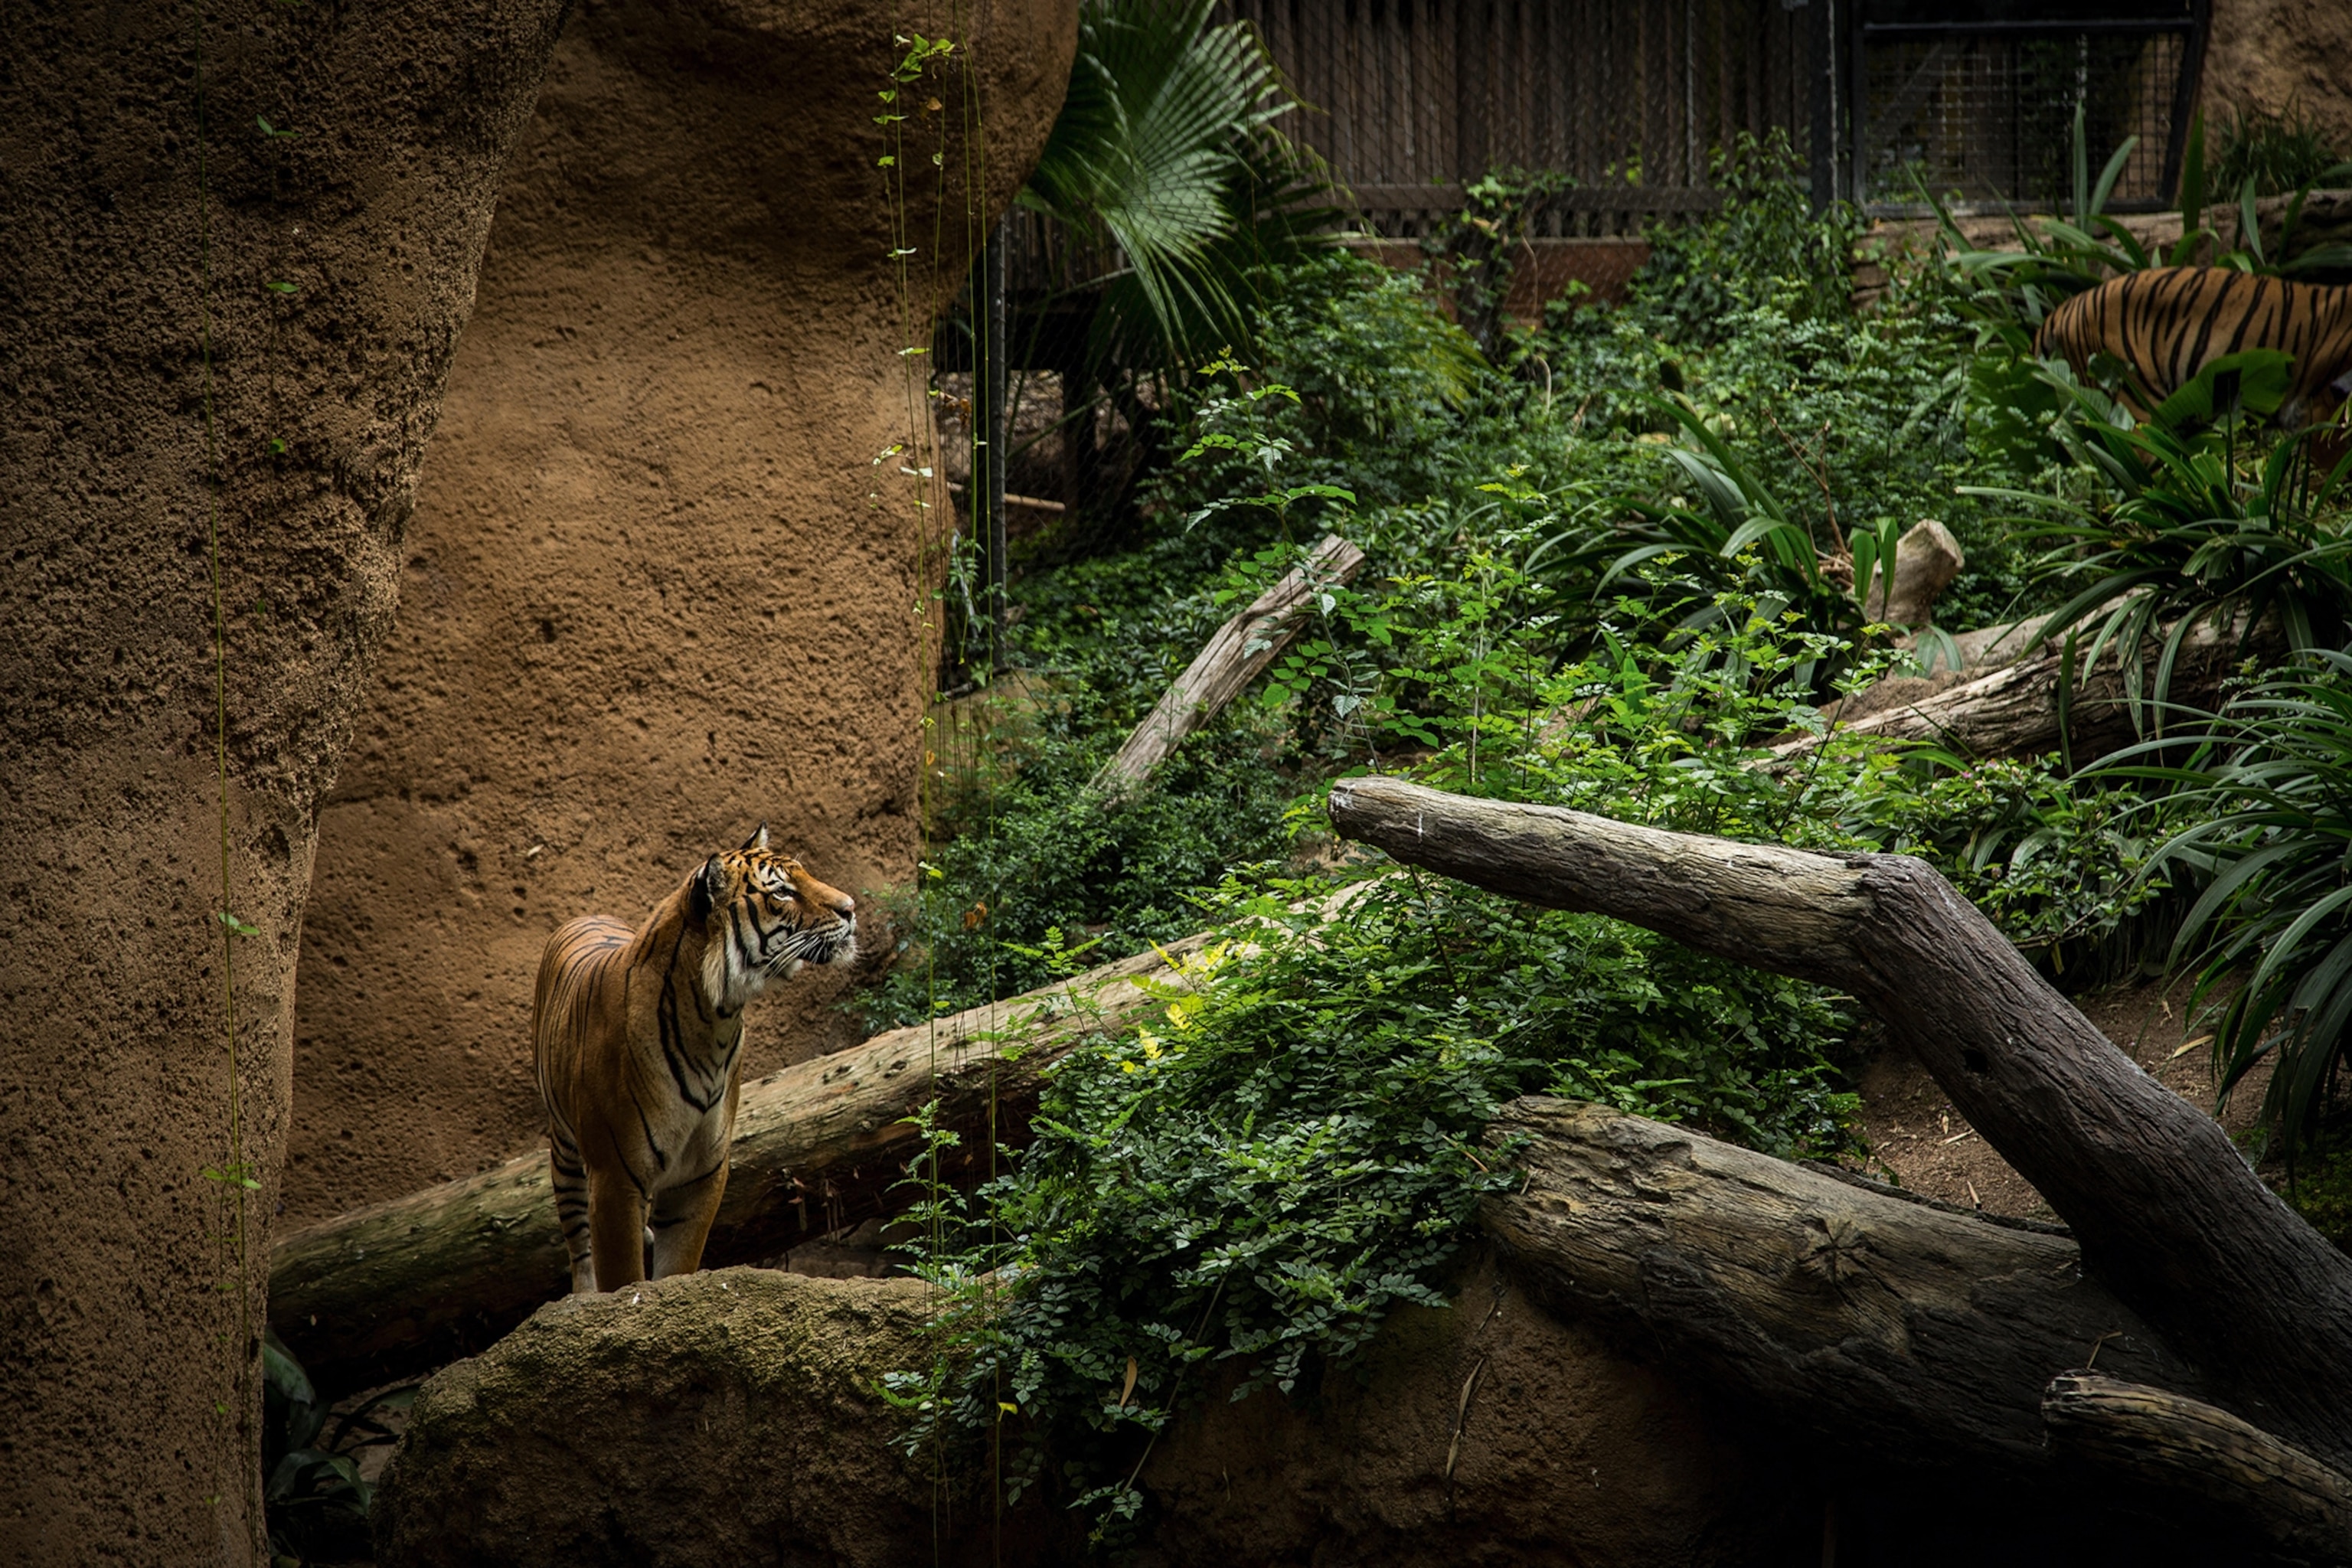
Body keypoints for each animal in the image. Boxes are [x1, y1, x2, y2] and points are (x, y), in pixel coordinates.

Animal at [530, 825, 857, 1294]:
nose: (851, 909)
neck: (714, 1020)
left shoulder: (701, 1174)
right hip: (565, 1150)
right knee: (579, 1244)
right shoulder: (613, 1176)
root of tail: (587, 915)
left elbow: (677, 1267)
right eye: (782, 891)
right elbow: (622, 1276)